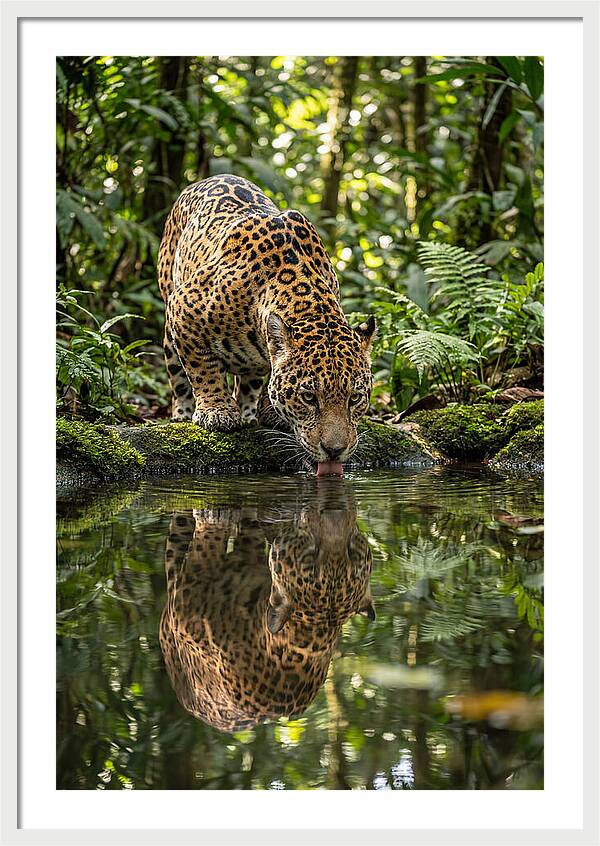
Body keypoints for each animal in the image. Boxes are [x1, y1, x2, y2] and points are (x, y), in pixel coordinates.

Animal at [157, 174, 376, 474]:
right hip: (169, 315)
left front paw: (271, 412)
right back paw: (182, 413)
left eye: (354, 398)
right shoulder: (183, 308)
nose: (334, 451)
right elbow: (202, 369)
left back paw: (249, 412)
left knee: (248, 379)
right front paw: (217, 411)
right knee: (178, 376)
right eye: (309, 398)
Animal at [158, 482, 374, 732]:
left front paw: (215, 516)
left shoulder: (186, 603)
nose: (335, 510)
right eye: (311, 556)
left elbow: (208, 543)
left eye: (352, 552)